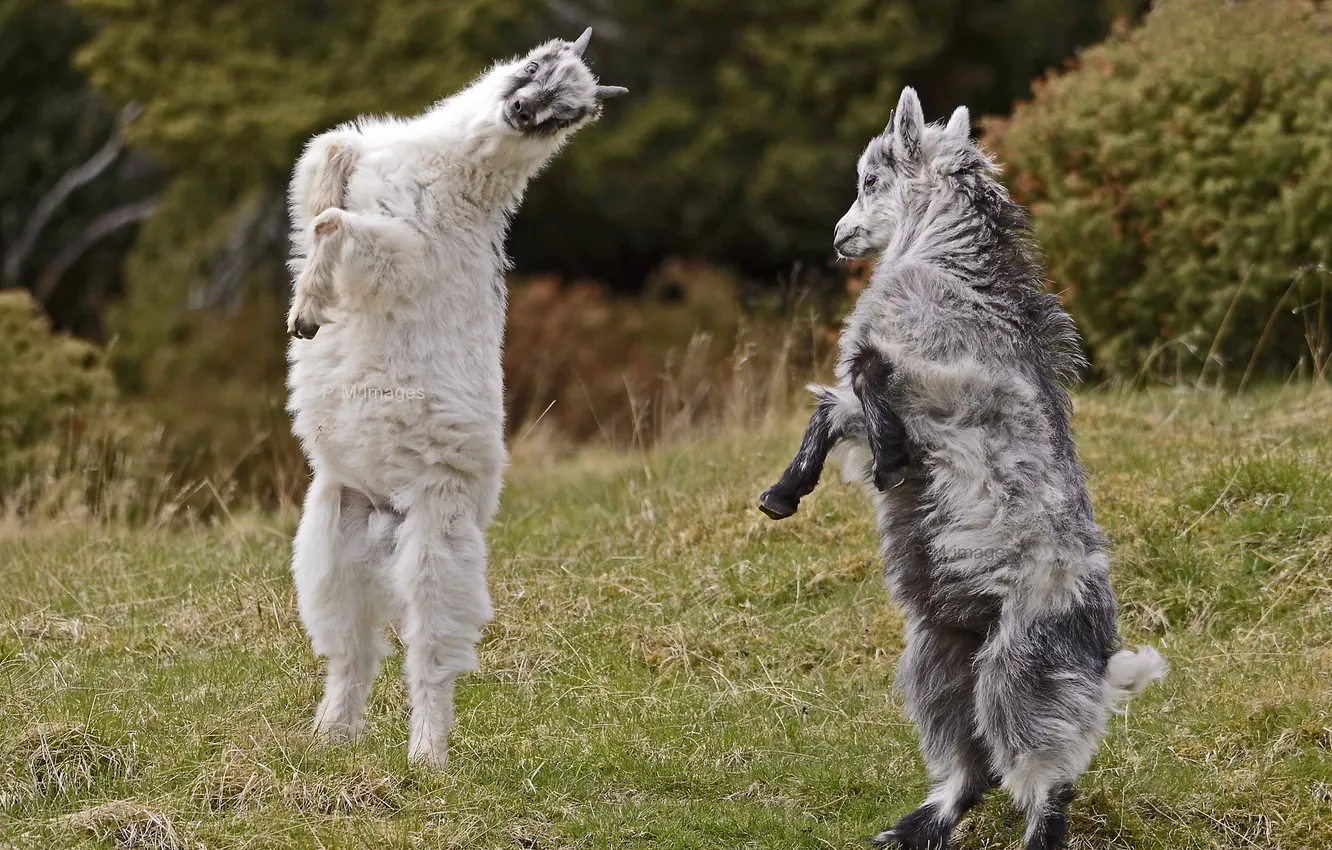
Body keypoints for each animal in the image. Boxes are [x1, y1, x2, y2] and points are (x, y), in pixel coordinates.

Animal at [284, 29, 625, 767]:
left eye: (569, 114)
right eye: (536, 66)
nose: (523, 113)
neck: (453, 169)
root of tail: (387, 520)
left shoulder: (404, 255)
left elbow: (333, 223)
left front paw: (312, 311)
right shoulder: (365, 163)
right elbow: (327, 161)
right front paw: (304, 303)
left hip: (440, 546)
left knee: (431, 658)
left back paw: (427, 756)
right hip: (329, 544)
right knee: (353, 652)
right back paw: (331, 737)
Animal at [760, 87, 1165, 850]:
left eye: (871, 179)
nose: (841, 236)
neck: (948, 258)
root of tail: (1099, 661)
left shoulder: (939, 384)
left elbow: (866, 377)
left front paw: (887, 460)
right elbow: (834, 408)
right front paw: (783, 493)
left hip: (1019, 671)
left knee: (1043, 777)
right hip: (939, 659)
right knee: (970, 766)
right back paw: (915, 826)